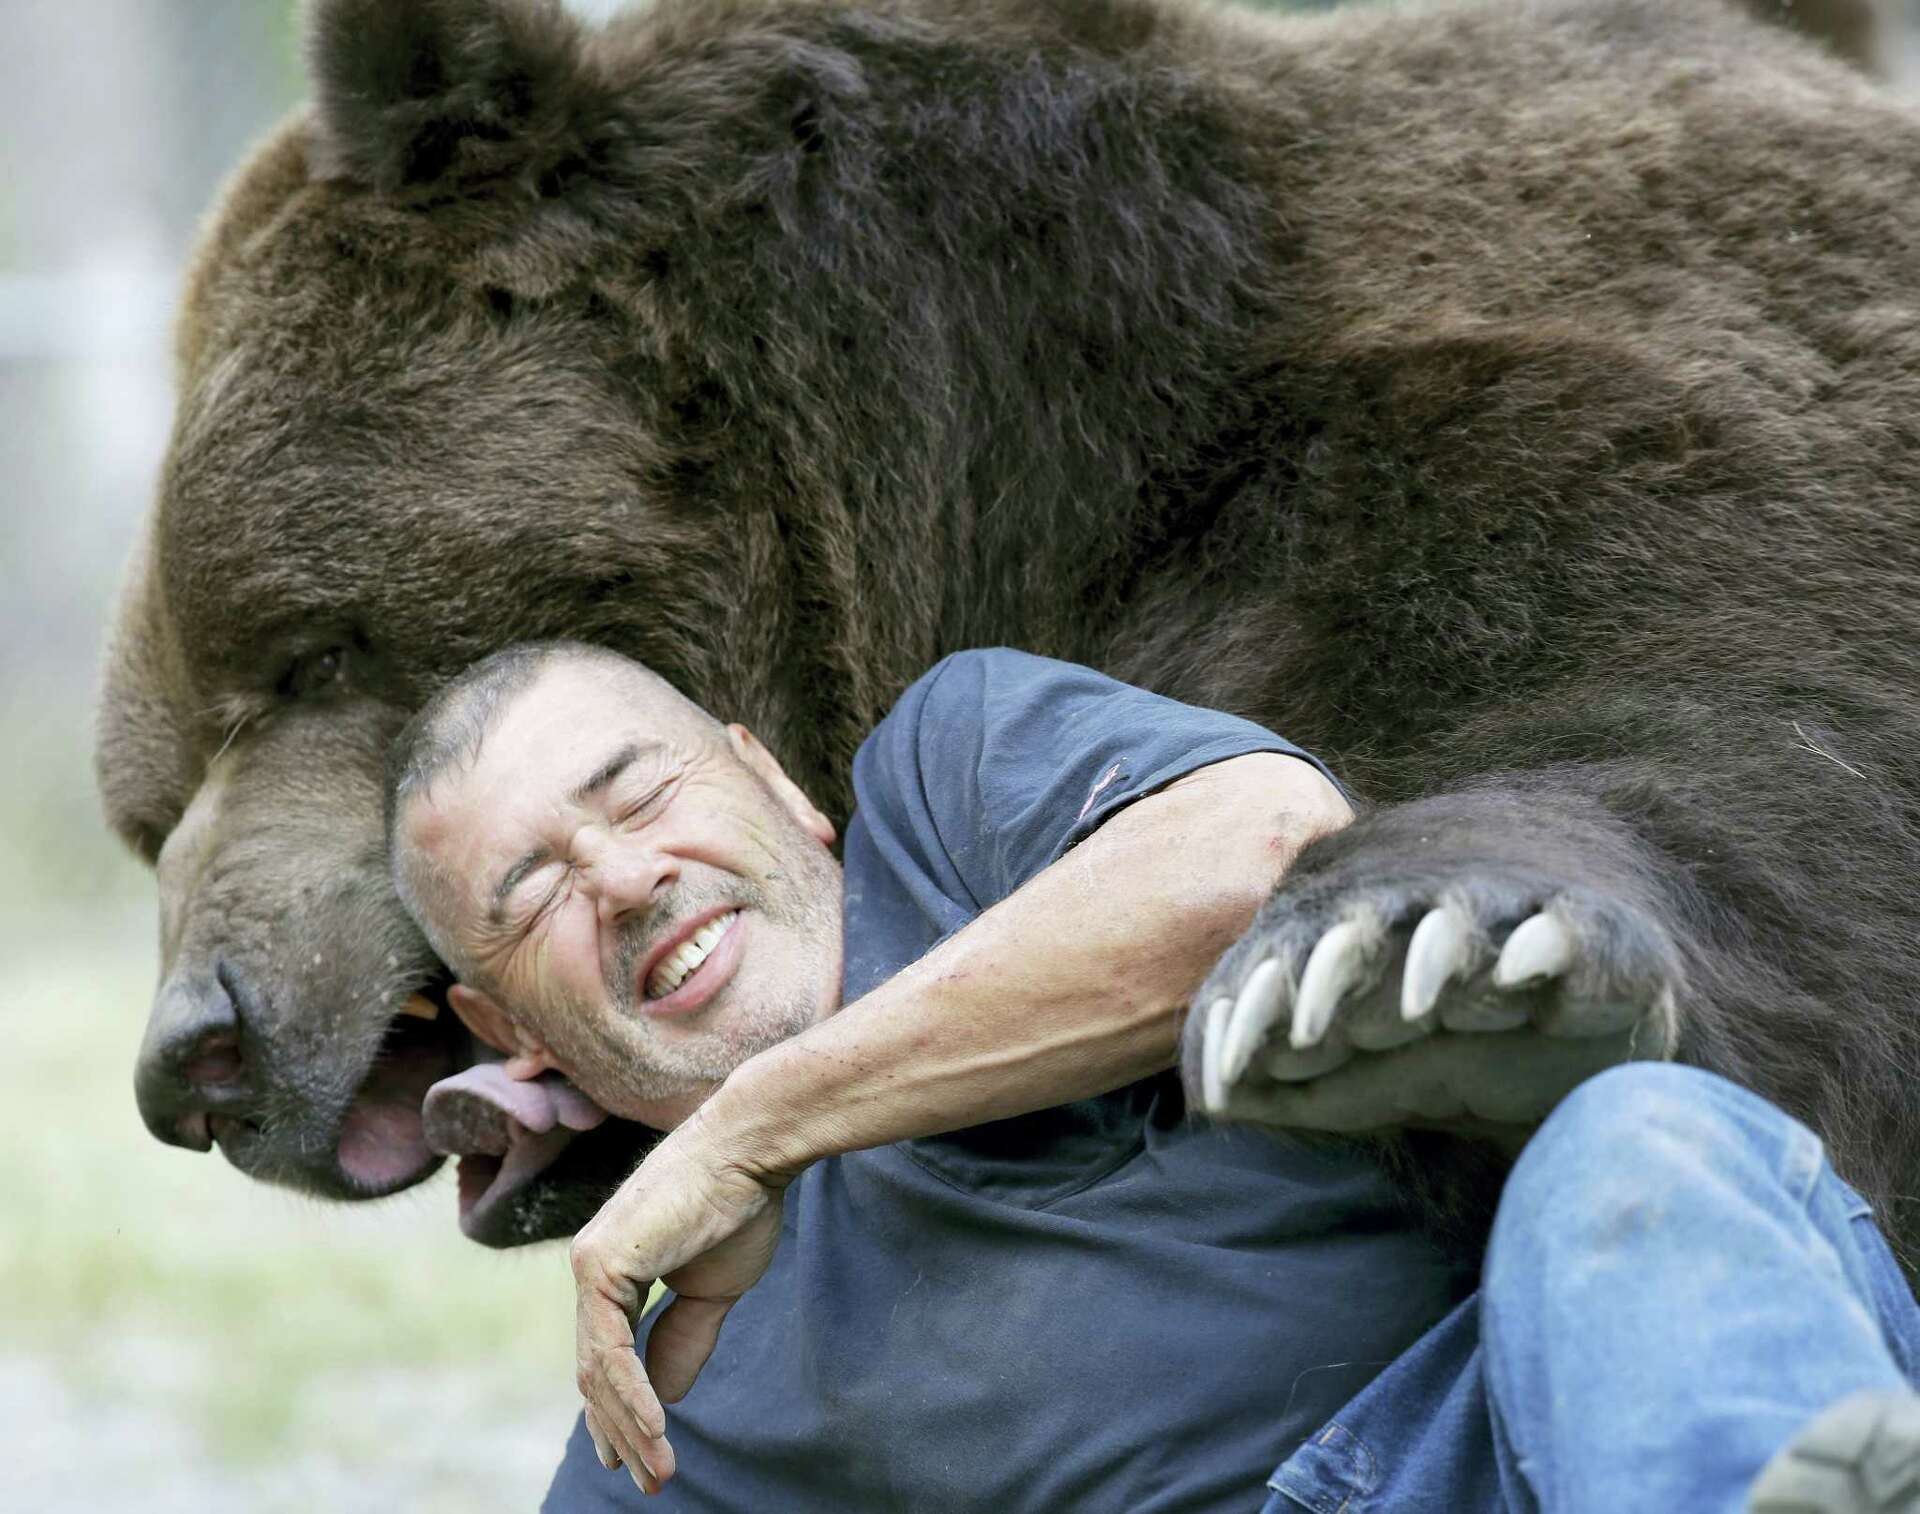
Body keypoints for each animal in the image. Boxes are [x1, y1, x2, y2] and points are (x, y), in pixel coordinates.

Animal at [97, 0, 1920, 1262]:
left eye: (304, 652)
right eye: (145, 802)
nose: (197, 1050)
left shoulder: (1552, 452)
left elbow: (1729, 745)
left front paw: (1406, 961)